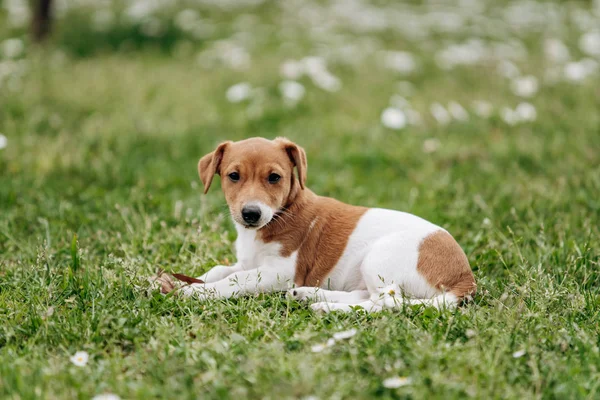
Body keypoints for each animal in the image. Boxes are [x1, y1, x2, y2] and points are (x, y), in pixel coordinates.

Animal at [180, 136, 476, 310]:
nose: (251, 213)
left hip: (380, 258)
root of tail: (465, 277)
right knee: (368, 297)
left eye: (274, 177)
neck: (280, 214)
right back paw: (309, 295)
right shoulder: (248, 262)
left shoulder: (281, 272)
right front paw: (190, 283)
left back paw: (327, 307)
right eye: (234, 176)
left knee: (386, 303)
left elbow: (235, 280)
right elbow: (220, 270)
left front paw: (200, 292)